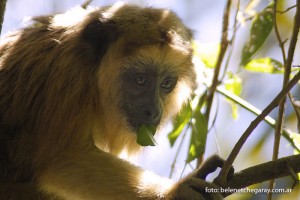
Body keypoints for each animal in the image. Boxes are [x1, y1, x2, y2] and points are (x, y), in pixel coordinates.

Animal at [0, 1, 224, 200]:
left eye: (167, 84)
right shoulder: (66, 72)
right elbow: (65, 158)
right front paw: (174, 191)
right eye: (140, 80)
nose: (154, 112)